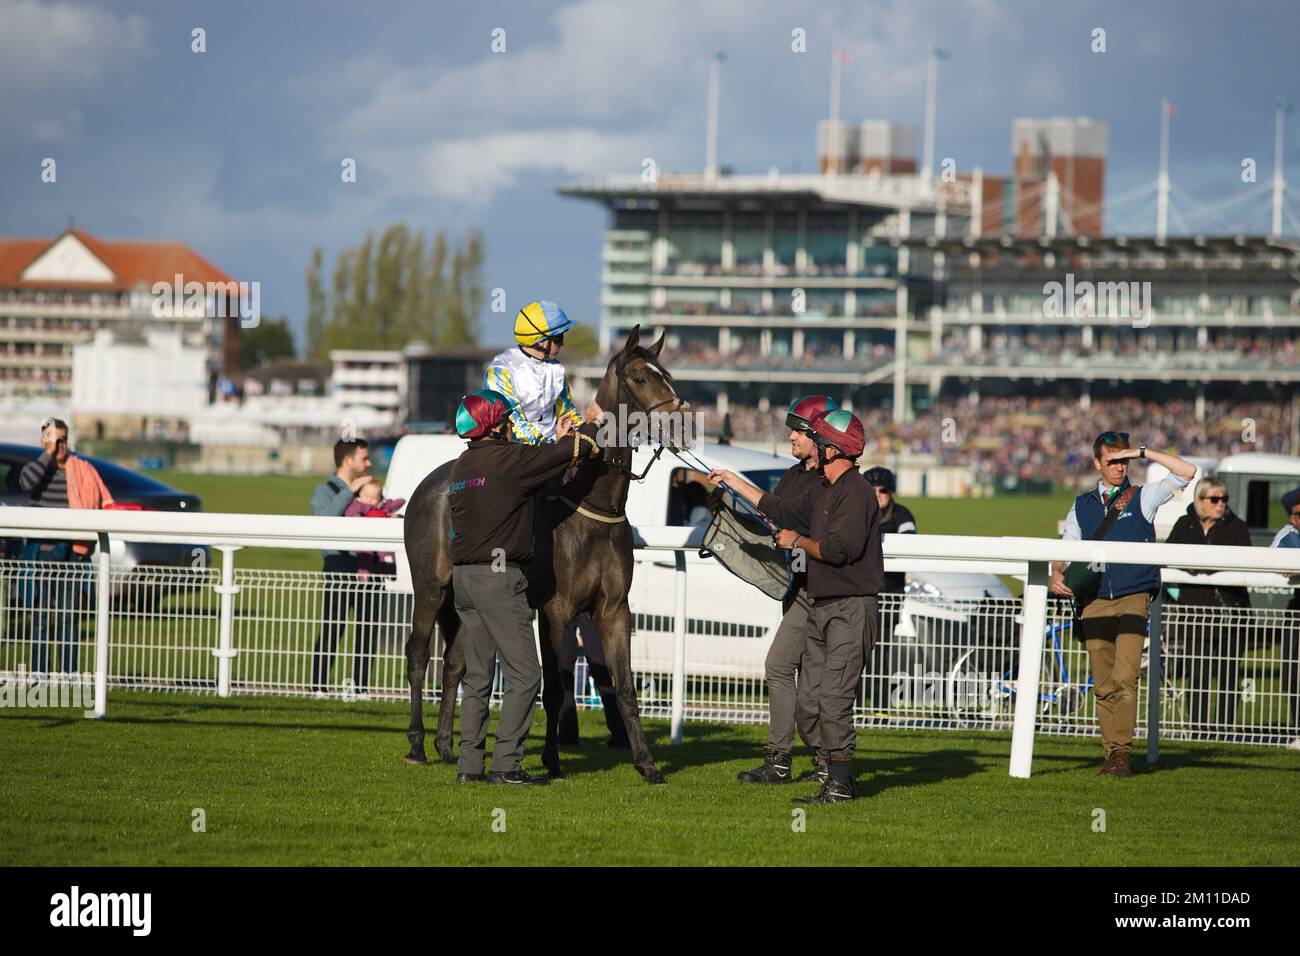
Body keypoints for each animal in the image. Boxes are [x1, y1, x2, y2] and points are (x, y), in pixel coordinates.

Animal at [400, 329, 686, 785]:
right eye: (641, 378)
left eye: (668, 375)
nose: (681, 420)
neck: (591, 505)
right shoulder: (556, 610)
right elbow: (554, 688)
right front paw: (551, 760)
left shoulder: (614, 610)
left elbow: (623, 685)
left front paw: (647, 764)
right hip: (430, 586)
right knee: (417, 654)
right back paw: (417, 745)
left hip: (462, 599)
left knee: (456, 665)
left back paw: (447, 748)